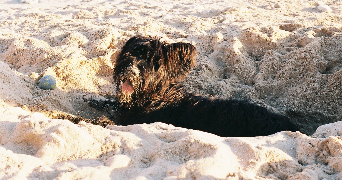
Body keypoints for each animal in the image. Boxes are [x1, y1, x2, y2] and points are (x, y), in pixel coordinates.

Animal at [86, 35, 300, 136]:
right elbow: (112, 103)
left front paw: (88, 119)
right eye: (132, 52)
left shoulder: (134, 122)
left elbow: (106, 121)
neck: (156, 97)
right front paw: (93, 98)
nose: (129, 70)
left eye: (153, 63)